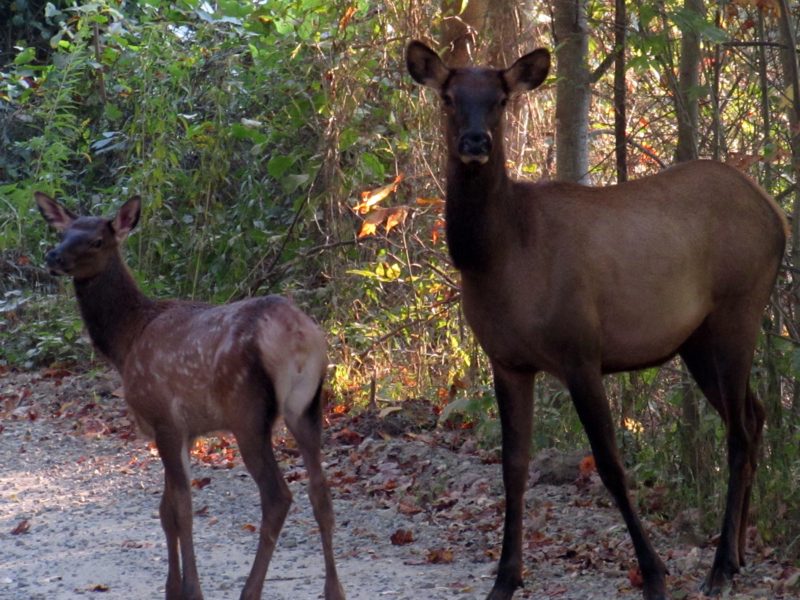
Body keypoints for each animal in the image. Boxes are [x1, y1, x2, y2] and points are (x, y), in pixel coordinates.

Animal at [35, 192, 346, 600]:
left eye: (98, 240)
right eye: (64, 232)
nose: (53, 256)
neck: (125, 342)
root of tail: (297, 337)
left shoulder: (163, 417)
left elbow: (181, 508)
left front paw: (189, 590)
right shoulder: (185, 429)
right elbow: (166, 509)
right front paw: (172, 588)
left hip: (247, 412)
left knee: (278, 496)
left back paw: (250, 591)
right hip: (308, 405)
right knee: (320, 492)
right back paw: (334, 591)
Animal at [406, 41, 787, 600]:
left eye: (500, 99)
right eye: (449, 98)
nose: (475, 142)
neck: (501, 256)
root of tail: (776, 213)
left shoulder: (580, 350)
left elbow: (610, 463)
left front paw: (654, 573)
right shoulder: (507, 361)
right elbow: (512, 466)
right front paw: (505, 578)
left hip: (739, 307)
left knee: (739, 432)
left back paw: (719, 568)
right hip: (696, 337)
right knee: (754, 416)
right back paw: (737, 556)